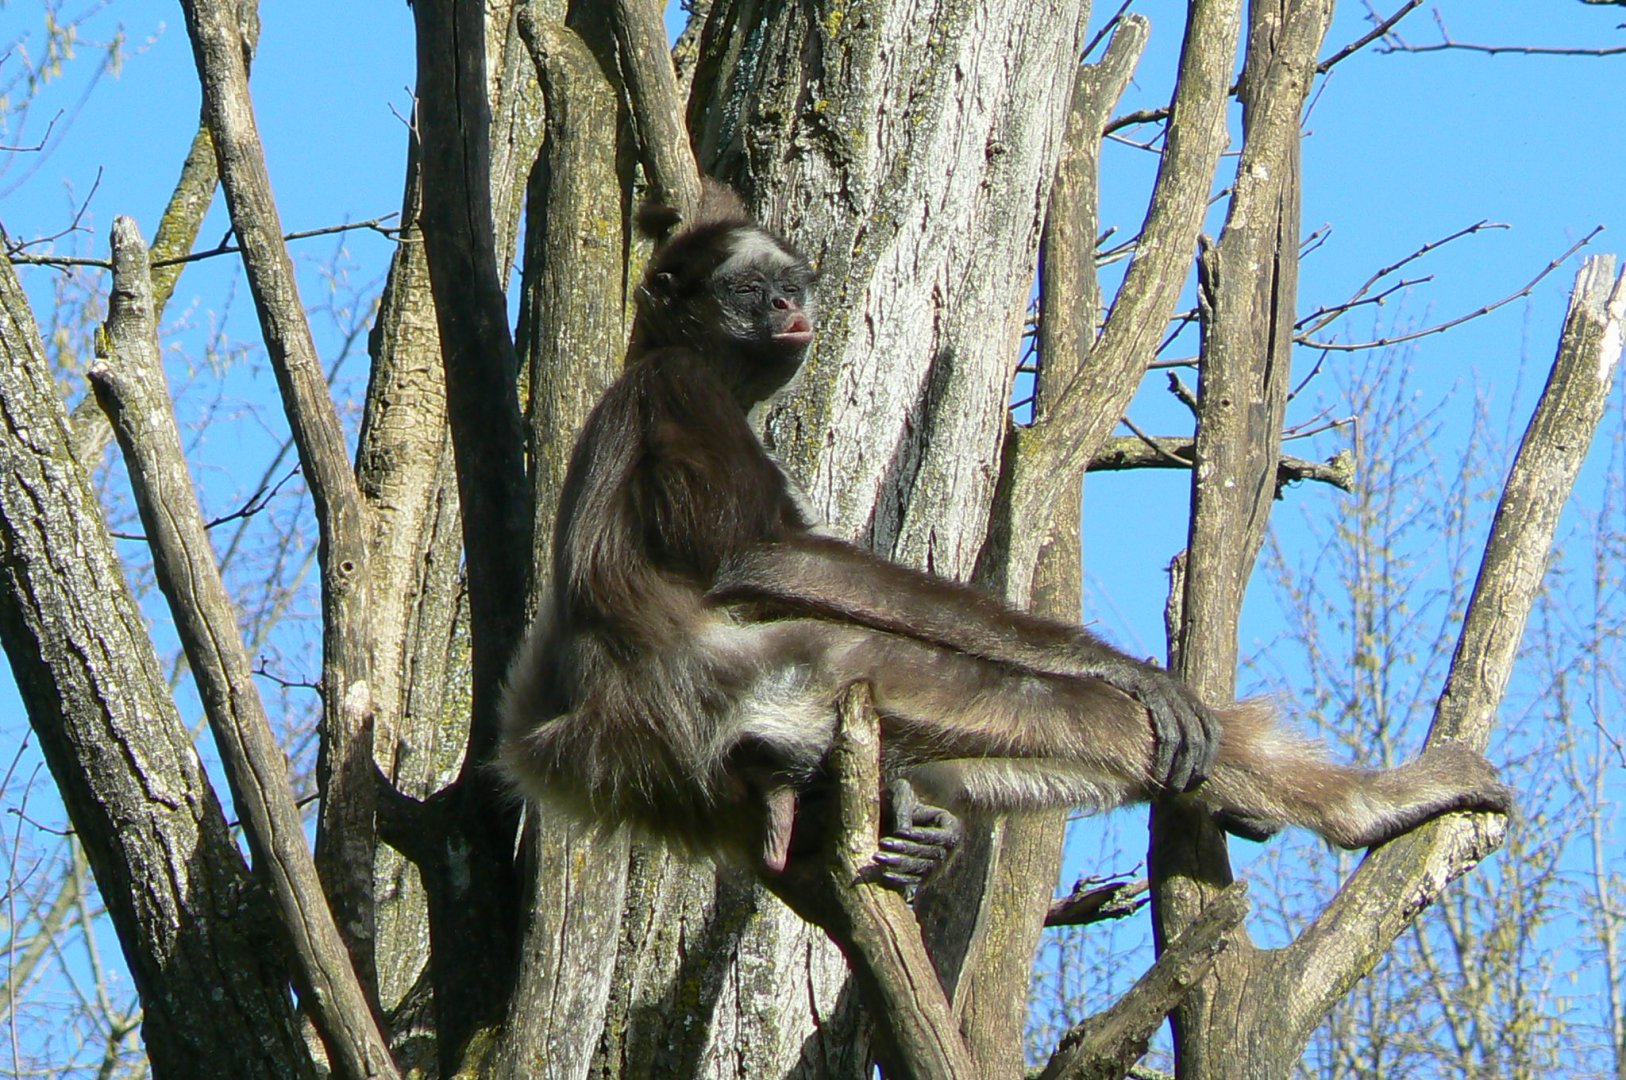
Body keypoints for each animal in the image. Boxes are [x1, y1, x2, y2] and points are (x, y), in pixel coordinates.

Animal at [499, 183, 1512, 886]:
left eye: (787, 287)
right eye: (752, 292)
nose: (791, 311)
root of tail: (584, 729)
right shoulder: (684, 389)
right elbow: (764, 555)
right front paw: (1119, 667)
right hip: (762, 686)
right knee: (1048, 707)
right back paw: (1366, 806)